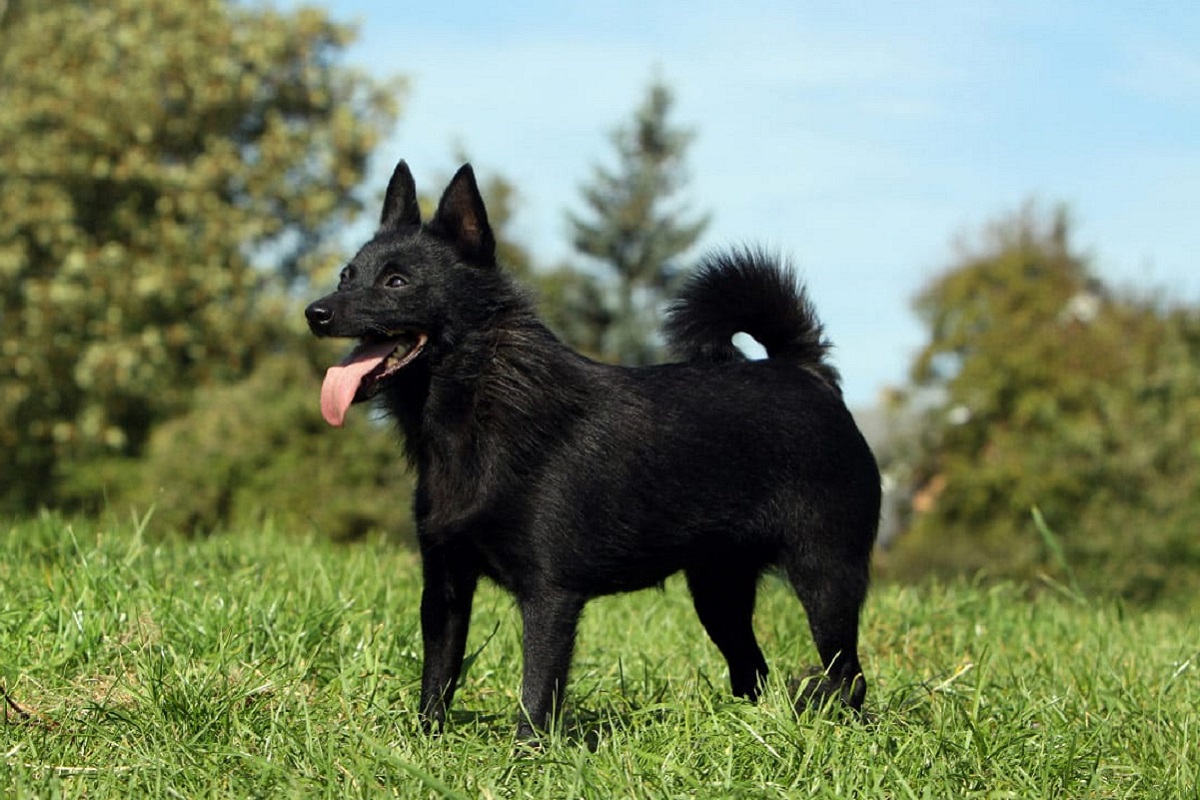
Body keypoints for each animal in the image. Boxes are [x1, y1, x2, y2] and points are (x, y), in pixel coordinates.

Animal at [304, 159, 878, 743]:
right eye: (347, 275)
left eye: (396, 281)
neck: (478, 405)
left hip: (825, 578)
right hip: (719, 591)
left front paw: (528, 756)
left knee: (849, 676)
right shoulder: (444, 587)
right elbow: (437, 678)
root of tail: (804, 372)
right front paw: (423, 746)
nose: (315, 312)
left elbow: (537, 694)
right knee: (753, 672)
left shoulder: (550, 598)